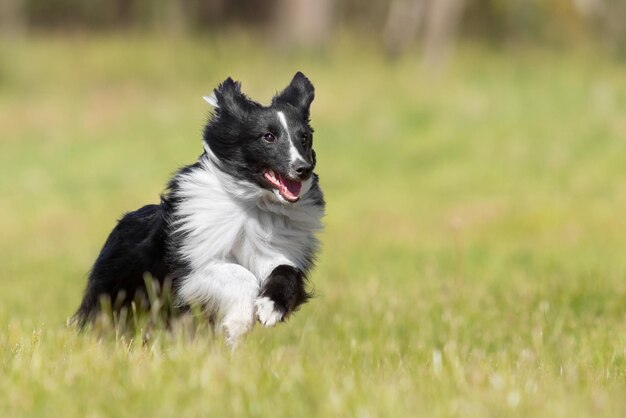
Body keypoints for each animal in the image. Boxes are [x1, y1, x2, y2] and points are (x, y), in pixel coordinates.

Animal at [74, 73, 322, 348]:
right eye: (268, 136)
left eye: (304, 138)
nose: (303, 169)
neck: (254, 205)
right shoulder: (194, 266)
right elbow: (240, 274)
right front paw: (238, 324)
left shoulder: (277, 252)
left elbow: (286, 270)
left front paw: (270, 308)